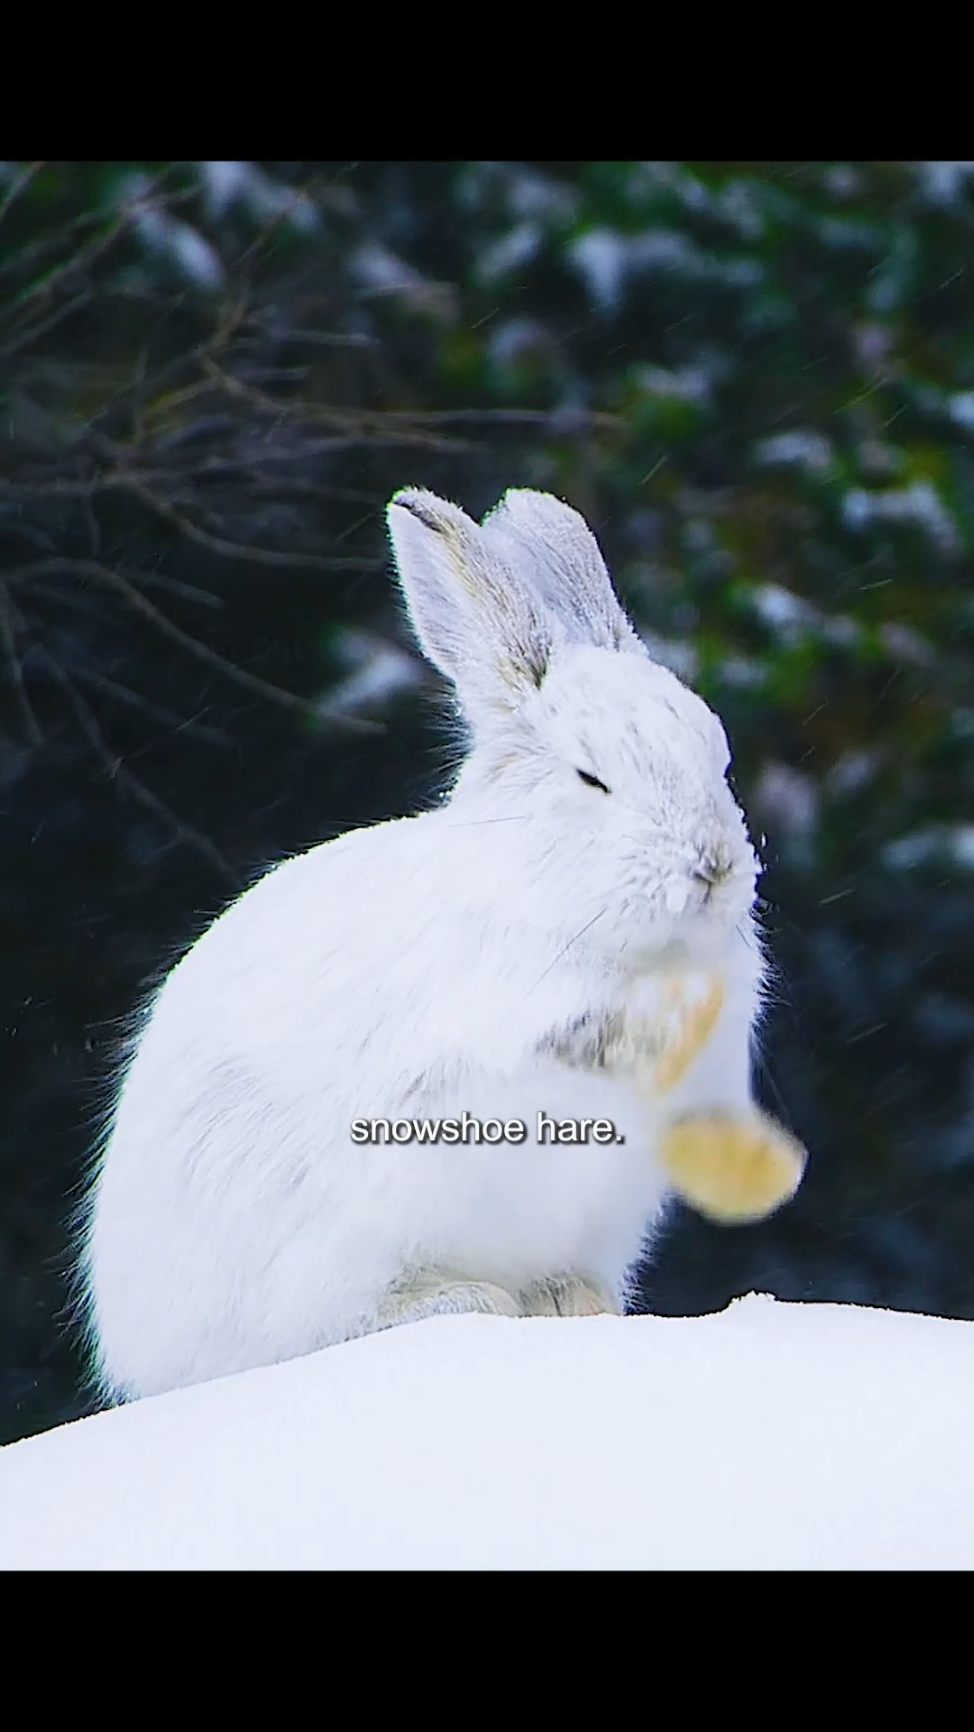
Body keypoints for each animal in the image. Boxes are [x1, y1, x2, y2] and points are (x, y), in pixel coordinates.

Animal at [75, 486, 805, 1403]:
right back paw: (467, 1299)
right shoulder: (481, 1027)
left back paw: (571, 1299)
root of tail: (138, 1356)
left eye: (720, 760)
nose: (713, 867)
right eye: (592, 779)